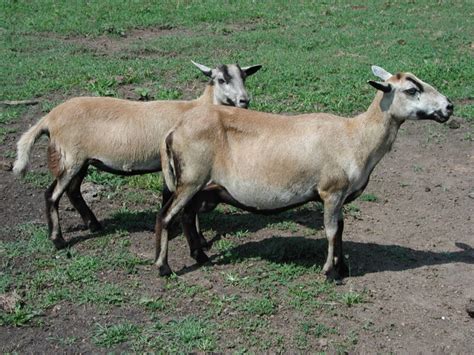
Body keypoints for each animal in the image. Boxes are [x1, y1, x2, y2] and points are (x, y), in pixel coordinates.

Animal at [12, 61, 262, 249]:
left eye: (244, 77)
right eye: (221, 79)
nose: (244, 100)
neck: (197, 107)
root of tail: (49, 118)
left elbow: (167, 196)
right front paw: (197, 238)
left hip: (81, 160)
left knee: (73, 191)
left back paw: (94, 225)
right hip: (70, 157)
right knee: (52, 195)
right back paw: (59, 241)